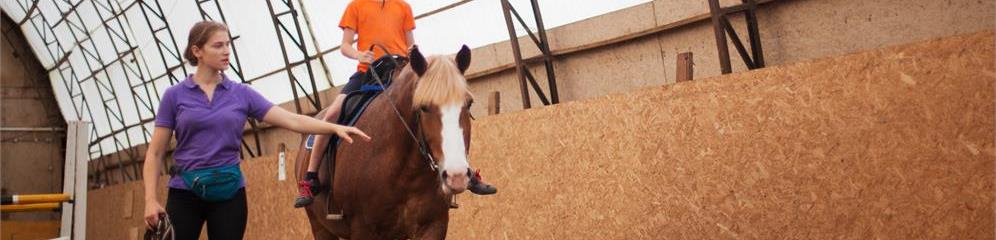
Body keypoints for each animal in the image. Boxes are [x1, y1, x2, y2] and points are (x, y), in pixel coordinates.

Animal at [296, 45, 478, 240]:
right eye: (423, 107)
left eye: (469, 103)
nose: (456, 175)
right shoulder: (362, 230)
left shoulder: (434, 225)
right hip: (319, 226)